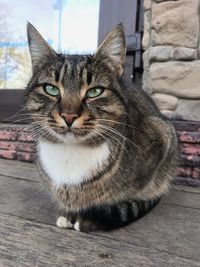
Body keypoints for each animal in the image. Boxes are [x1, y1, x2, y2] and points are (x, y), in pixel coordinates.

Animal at [25, 23, 177, 232]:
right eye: (51, 89)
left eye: (95, 91)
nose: (69, 116)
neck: (70, 154)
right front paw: (67, 213)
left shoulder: (161, 139)